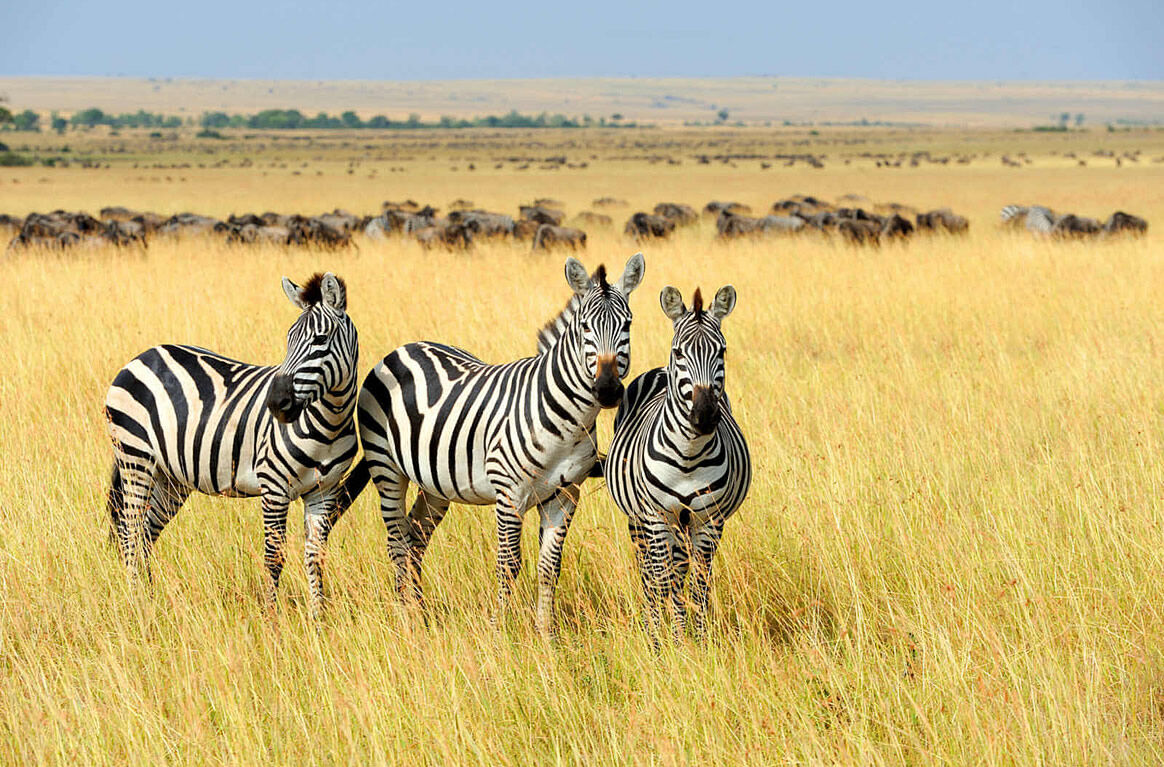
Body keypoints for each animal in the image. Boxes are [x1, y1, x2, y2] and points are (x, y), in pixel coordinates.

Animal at [104, 272, 359, 617]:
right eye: (288, 339)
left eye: (320, 340)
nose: (276, 403)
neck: (329, 424)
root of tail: (143, 355)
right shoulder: (274, 487)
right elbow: (273, 558)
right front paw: (271, 618)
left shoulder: (324, 491)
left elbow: (315, 557)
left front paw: (318, 620)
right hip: (136, 459)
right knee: (130, 533)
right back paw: (136, 605)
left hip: (170, 478)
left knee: (145, 535)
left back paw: (150, 600)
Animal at [339, 253, 645, 634]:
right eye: (584, 328)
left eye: (628, 325)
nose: (607, 389)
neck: (568, 421)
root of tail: (404, 347)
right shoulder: (509, 493)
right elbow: (508, 564)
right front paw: (501, 631)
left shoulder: (565, 495)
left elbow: (550, 567)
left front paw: (546, 635)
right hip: (387, 468)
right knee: (396, 540)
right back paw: (405, 617)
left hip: (436, 484)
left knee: (415, 538)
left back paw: (420, 615)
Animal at [603, 285, 751, 642]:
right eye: (679, 352)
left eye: (722, 351)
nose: (705, 416)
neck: (689, 454)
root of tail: (659, 369)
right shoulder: (656, 516)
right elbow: (662, 580)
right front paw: (663, 641)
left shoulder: (709, 519)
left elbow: (698, 583)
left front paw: (697, 639)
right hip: (639, 520)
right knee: (649, 572)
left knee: (682, 571)